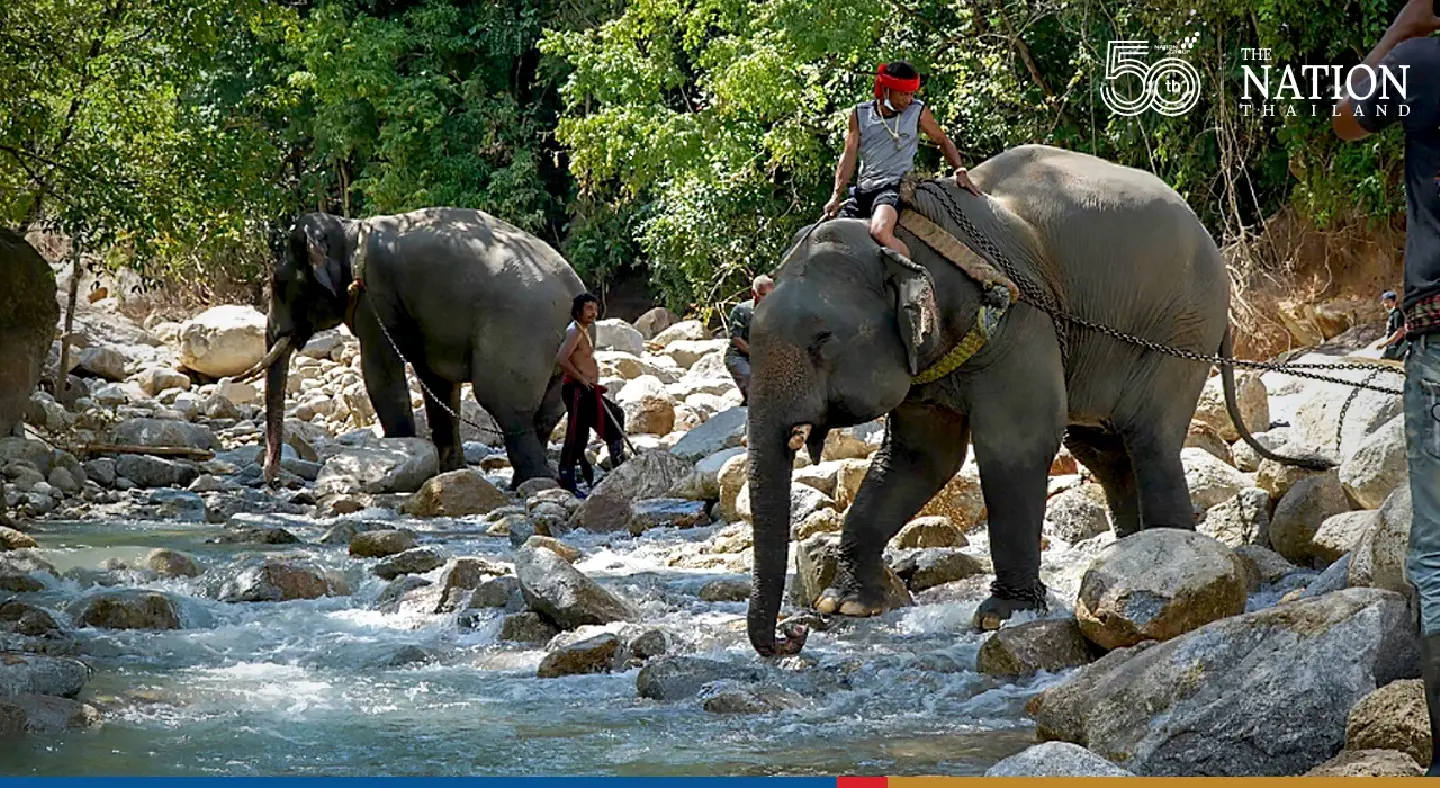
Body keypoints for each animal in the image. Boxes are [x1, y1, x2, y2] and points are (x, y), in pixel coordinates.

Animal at [247, 207, 586, 486]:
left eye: (278, 284)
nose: (272, 480)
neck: (350, 229)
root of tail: (574, 291)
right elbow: (437, 382)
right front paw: (449, 471)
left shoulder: (376, 299)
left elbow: (381, 375)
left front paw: (402, 451)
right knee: (548, 410)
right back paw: (528, 481)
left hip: (520, 332)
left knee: (505, 404)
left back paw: (535, 483)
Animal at [744, 144, 1324, 657]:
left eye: (821, 340)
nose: (794, 635)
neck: (911, 237)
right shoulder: (929, 361)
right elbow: (918, 458)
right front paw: (846, 605)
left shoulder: (1015, 316)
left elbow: (1015, 444)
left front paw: (1002, 617)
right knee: (1103, 451)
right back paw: (1130, 556)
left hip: (1180, 329)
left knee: (1150, 441)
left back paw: (1178, 555)